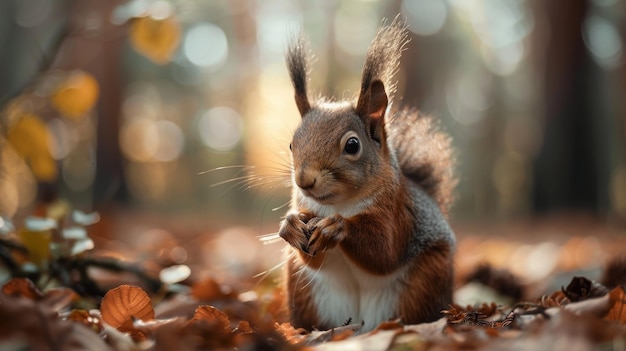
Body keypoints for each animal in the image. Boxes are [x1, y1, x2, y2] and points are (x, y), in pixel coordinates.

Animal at [276, 18, 454, 332]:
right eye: (291, 144)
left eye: (352, 145)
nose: (304, 181)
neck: (339, 204)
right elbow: (311, 258)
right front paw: (290, 225)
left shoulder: (397, 212)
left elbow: (385, 250)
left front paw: (337, 227)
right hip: (303, 290)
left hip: (426, 280)